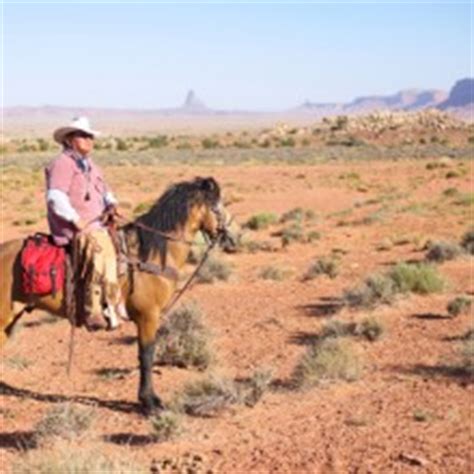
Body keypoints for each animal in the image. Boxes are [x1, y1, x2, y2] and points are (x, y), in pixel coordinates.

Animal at [0, 176, 237, 412]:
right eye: (217, 206)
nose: (232, 241)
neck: (149, 254)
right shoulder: (148, 316)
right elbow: (146, 355)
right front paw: (150, 402)